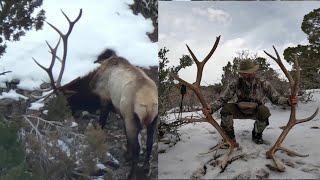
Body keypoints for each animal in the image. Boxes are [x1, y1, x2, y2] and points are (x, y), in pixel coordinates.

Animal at [32, 8, 158, 180]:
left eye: (65, 100)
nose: (55, 114)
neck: (92, 86)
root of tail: (149, 101)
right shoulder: (120, 111)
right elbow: (124, 135)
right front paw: (126, 154)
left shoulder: (106, 100)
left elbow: (101, 125)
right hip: (153, 119)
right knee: (150, 143)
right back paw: (145, 168)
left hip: (132, 117)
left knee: (138, 148)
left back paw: (131, 174)